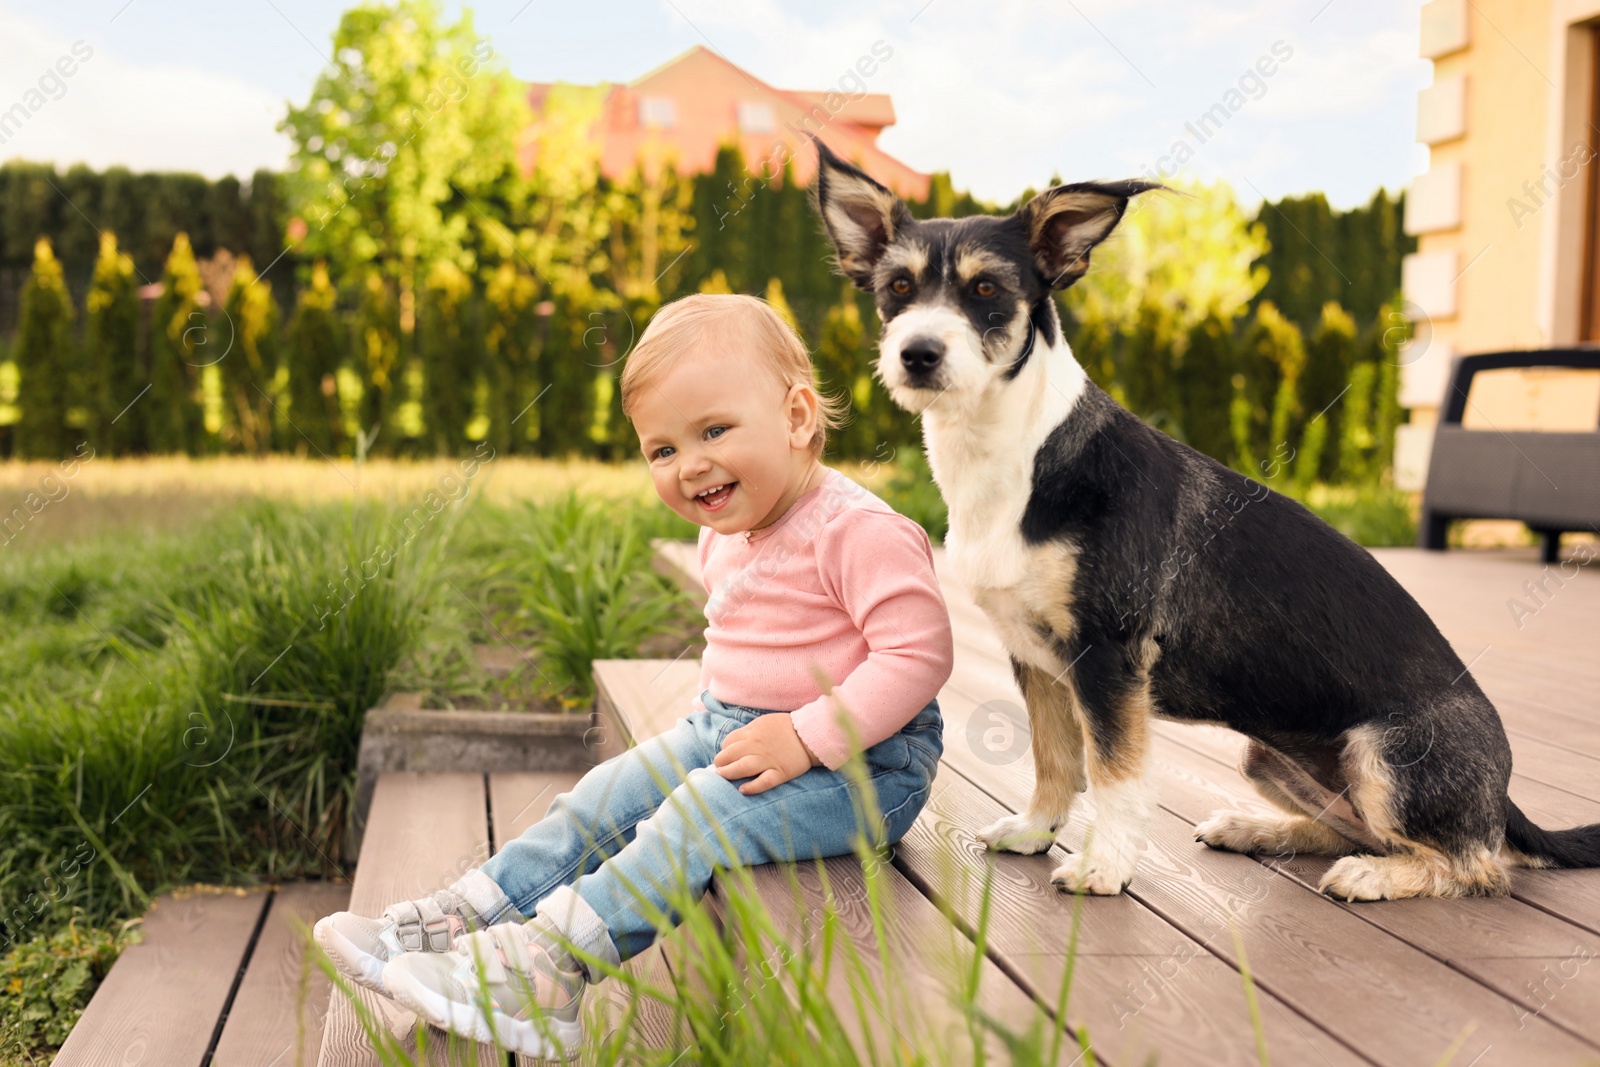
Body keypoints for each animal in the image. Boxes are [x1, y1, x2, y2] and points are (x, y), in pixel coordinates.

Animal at [812, 135, 1600, 902]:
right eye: (897, 288)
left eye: (986, 291)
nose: (917, 354)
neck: (1018, 453)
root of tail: (1503, 797)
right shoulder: (1035, 658)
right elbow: (1055, 757)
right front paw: (1037, 830)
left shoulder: (1110, 657)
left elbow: (1115, 777)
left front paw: (1104, 867)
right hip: (1265, 753)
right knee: (1356, 829)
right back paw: (1260, 829)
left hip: (1385, 754)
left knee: (1474, 864)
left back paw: (1377, 875)